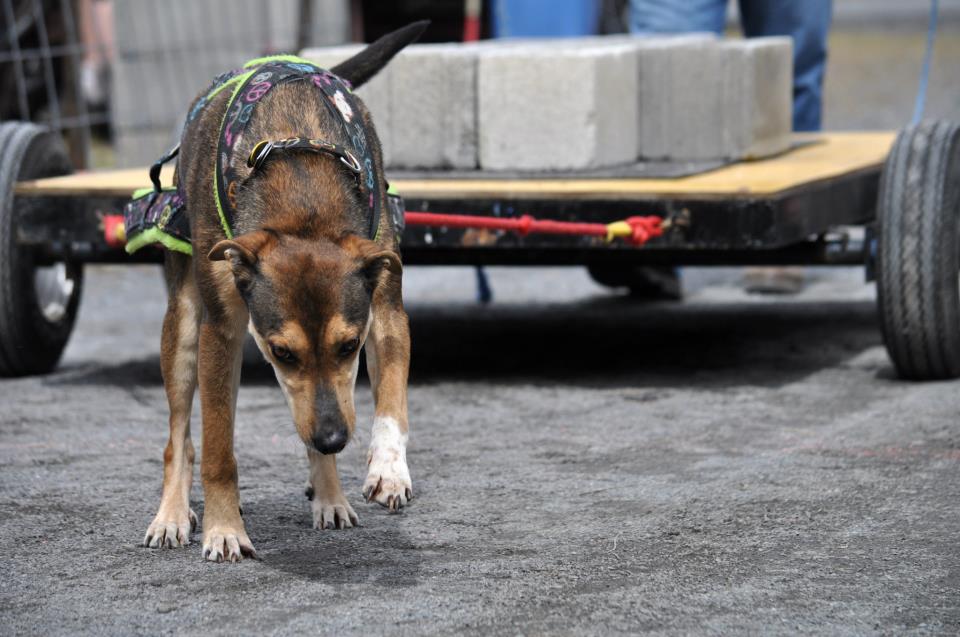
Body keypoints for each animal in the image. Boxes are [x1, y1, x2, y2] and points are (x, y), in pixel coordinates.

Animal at [143, 24, 428, 560]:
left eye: (351, 346)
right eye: (282, 352)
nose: (335, 439)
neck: (303, 203)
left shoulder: (384, 308)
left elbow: (392, 401)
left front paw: (387, 468)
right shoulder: (223, 332)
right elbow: (217, 448)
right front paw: (224, 529)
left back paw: (330, 496)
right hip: (184, 325)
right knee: (179, 436)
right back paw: (171, 515)